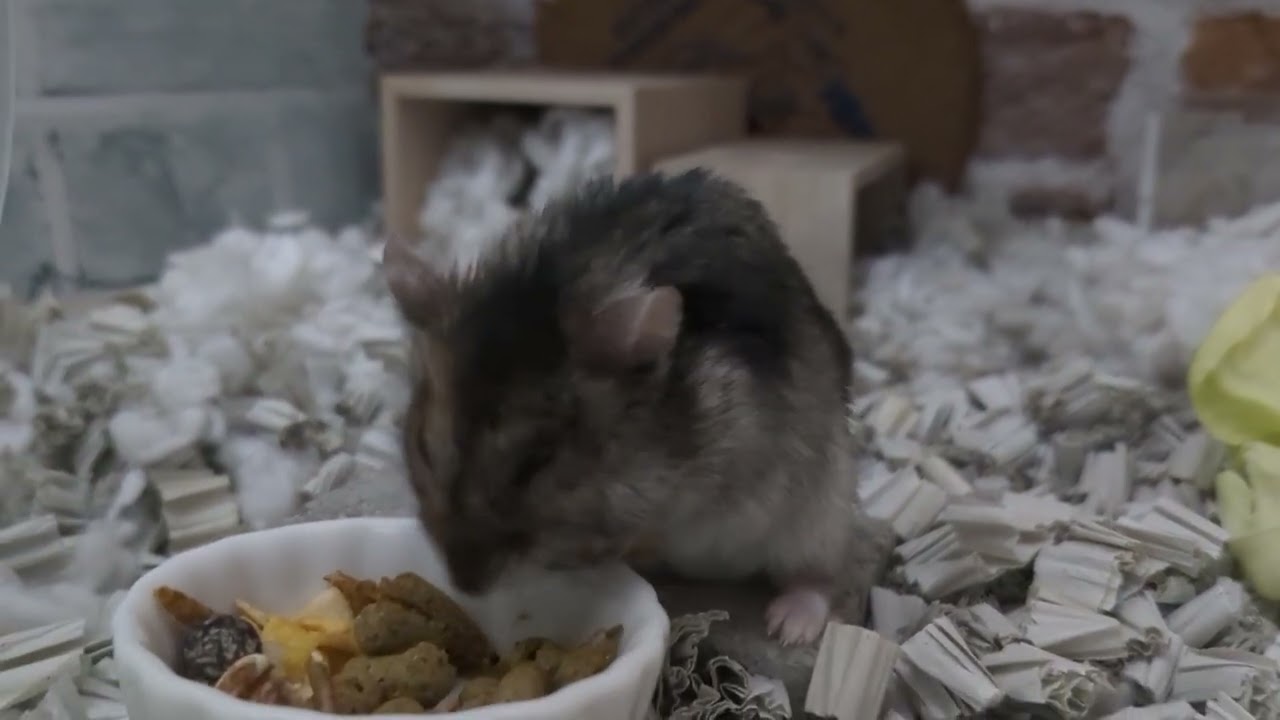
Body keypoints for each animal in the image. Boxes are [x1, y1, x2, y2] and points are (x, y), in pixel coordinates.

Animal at [383, 169, 891, 646]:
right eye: (423, 446)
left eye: (536, 461)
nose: (465, 586)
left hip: (823, 507)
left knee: (821, 572)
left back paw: (790, 625)